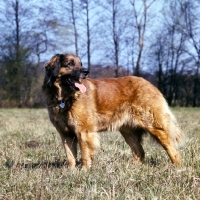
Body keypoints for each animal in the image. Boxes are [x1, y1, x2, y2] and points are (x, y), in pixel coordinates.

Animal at [42, 53, 184, 170]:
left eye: (80, 64)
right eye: (70, 64)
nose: (86, 71)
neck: (64, 97)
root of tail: (149, 84)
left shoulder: (83, 131)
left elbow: (84, 154)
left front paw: (84, 170)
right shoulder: (65, 134)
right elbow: (70, 155)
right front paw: (71, 171)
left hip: (153, 125)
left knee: (171, 148)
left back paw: (177, 167)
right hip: (128, 131)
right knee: (139, 151)